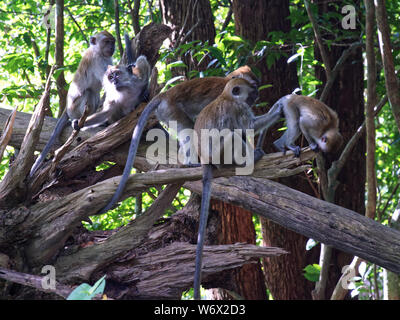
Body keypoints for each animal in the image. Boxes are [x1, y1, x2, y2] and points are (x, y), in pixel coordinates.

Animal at [29, 31, 115, 176]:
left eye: (113, 42)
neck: (98, 51)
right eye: (106, 41)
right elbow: (108, 81)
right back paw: (79, 120)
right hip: (75, 108)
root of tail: (67, 109)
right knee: (89, 92)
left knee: (94, 94)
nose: (112, 47)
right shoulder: (96, 60)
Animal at [100, 65, 260, 215]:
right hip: (171, 110)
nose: (256, 93)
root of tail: (165, 94)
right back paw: (190, 163)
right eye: (253, 86)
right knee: (189, 129)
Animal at [193, 77, 282, 300]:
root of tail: (205, 161)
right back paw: (249, 159)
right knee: (233, 135)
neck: (226, 96)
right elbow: (248, 127)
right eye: (252, 90)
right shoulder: (238, 108)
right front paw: (278, 110)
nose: (257, 95)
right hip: (220, 155)